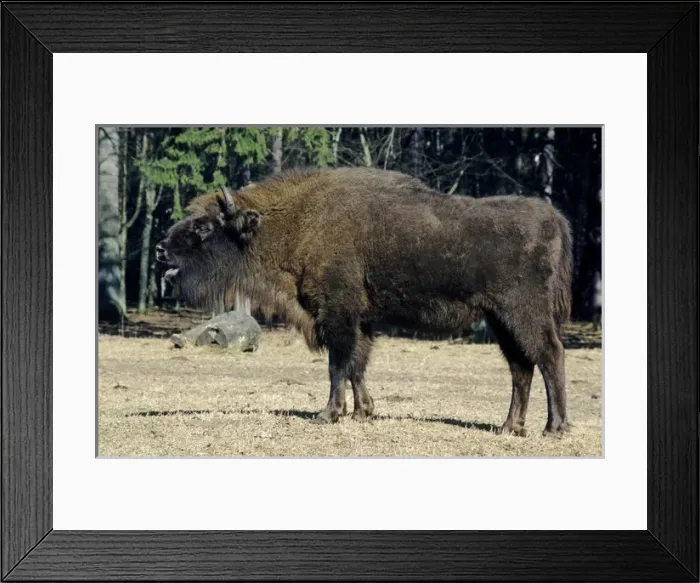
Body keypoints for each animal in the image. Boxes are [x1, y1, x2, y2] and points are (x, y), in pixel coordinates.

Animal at [156, 168, 573, 435]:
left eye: (204, 226)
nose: (161, 249)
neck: (296, 222)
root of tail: (553, 218)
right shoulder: (361, 320)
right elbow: (358, 364)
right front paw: (363, 413)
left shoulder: (337, 314)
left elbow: (338, 364)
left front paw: (328, 414)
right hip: (500, 320)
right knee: (521, 368)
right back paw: (508, 427)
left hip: (522, 313)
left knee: (549, 356)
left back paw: (553, 428)